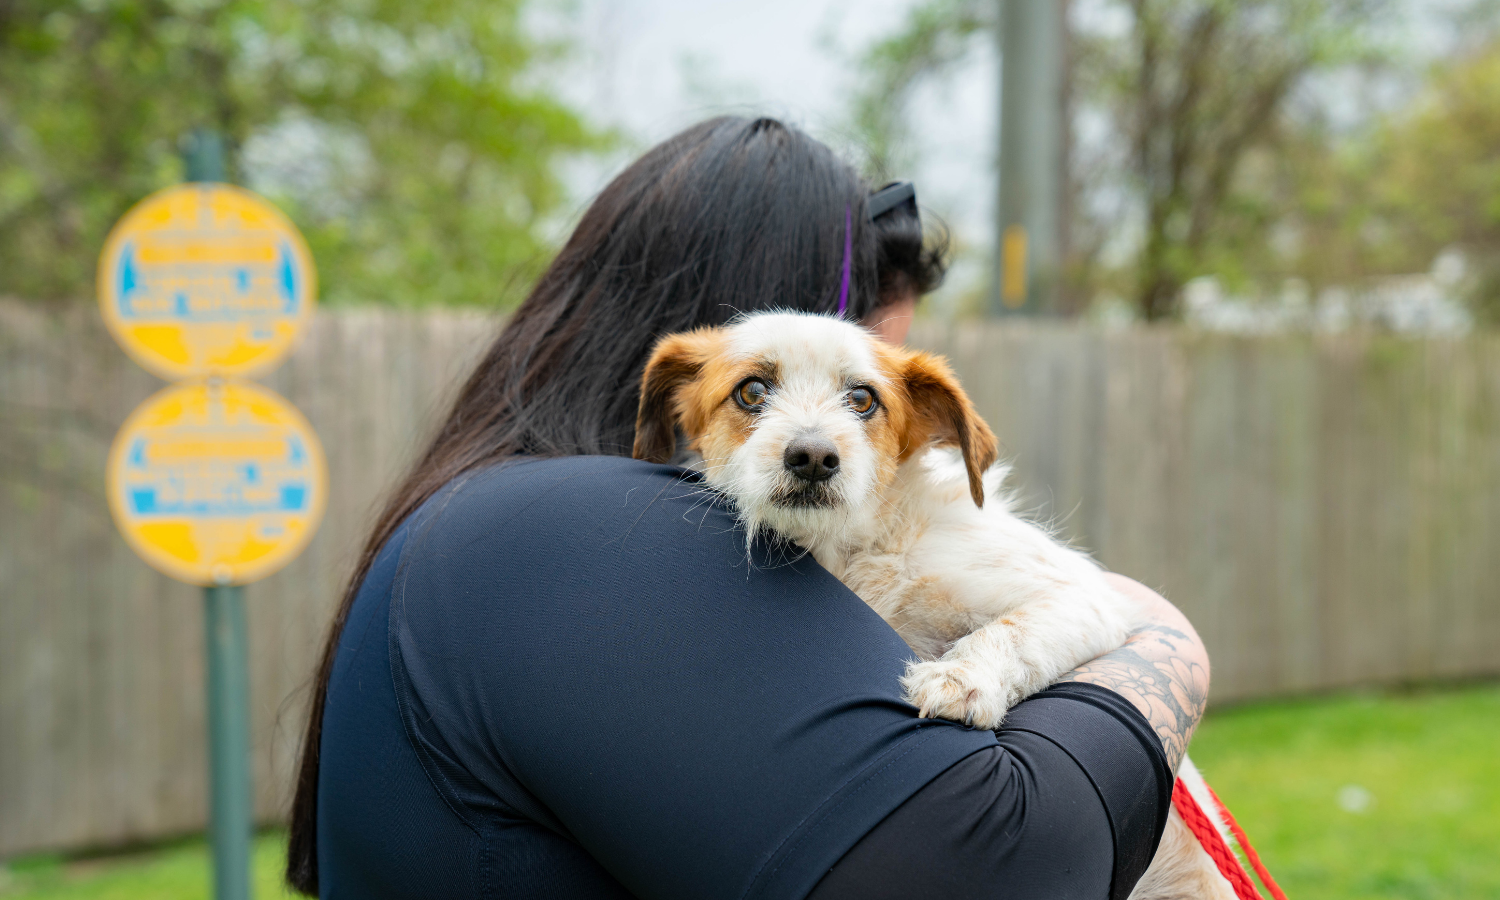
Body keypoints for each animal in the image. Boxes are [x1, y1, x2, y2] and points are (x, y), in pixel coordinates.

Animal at [633, 310, 1242, 900]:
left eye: (862, 399)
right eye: (751, 390)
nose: (813, 457)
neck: (852, 550)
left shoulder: (1080, 595)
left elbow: (1012, 630)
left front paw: (962, 679)